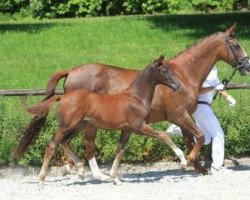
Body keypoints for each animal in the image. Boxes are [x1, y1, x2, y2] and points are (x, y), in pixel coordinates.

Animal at [14, 23, 250, 181]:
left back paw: (75, 168)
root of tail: (71, 71)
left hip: (82, 123)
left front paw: (197, 167)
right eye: (236, 45)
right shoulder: (180, 115)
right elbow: (198, 137)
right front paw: (190, 163)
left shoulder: (183, 118)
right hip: (85, 124)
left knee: (69, 142)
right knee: (85, 144)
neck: (183, 75)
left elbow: (192, 140)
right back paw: (94, 173)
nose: (246, 66)